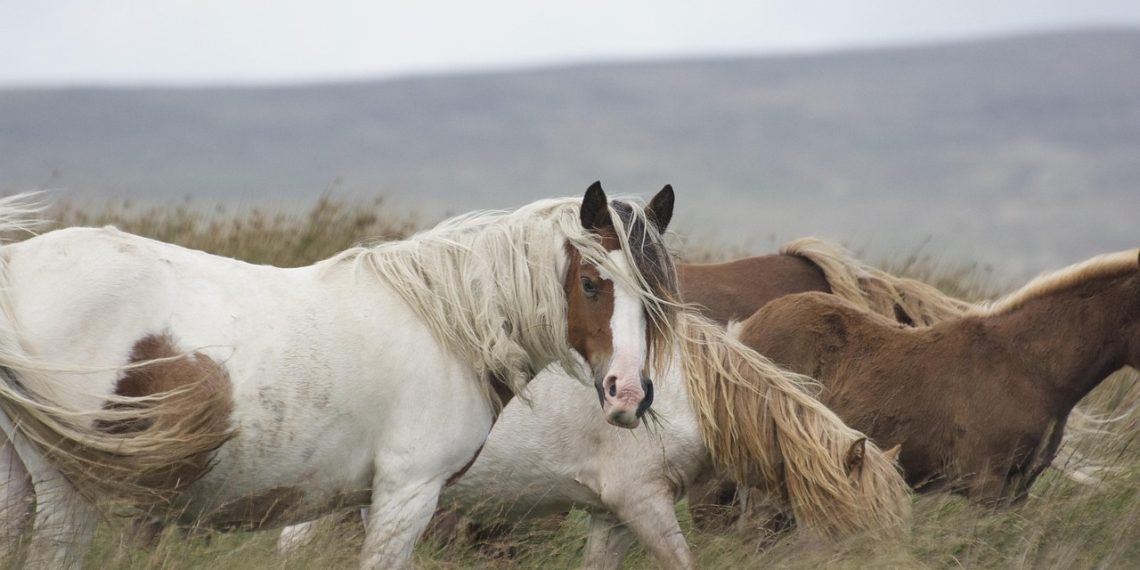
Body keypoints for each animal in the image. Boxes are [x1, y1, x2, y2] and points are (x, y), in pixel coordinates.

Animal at [0, 182, 680, 569]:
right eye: (592, 283)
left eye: (657, 296)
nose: (627, 394)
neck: (446, 323)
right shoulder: (408, 493)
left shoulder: (365, 497)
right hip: (69, 491)